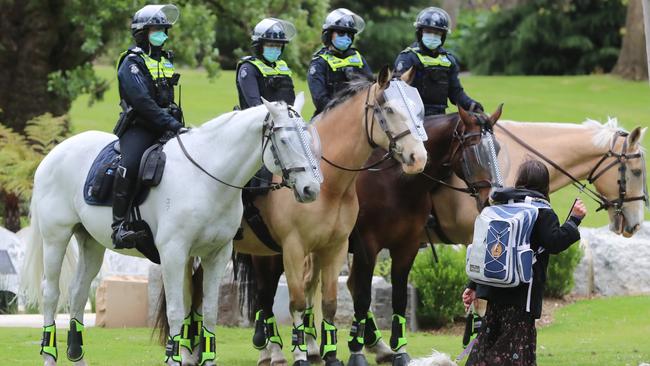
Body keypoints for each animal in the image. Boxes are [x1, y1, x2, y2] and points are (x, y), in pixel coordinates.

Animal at [21, 95, 320, 366]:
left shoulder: (217, 255)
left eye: (309, 138)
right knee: (51, 295)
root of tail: (54, 153)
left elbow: (208, 312)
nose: (311, 189)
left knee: (78, 294)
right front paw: (175, 356)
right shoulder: (174, 253)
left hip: (91, 243)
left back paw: (78, 356)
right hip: (56, 238)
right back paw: (48, 356)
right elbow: (177, 310)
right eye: (284, 141)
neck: (206, 177)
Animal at [237, 106, 502, 366]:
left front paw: (398, 350)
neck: (395, 184)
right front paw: (357, 350)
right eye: (475, 151)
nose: (493, 197)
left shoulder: (406, 247)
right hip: (272, 251)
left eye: (497, 149)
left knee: (309, 285)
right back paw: (272, 350)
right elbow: (363, 297)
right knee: (266, 294)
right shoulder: (367, 245)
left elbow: (398, 298)